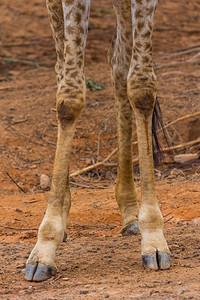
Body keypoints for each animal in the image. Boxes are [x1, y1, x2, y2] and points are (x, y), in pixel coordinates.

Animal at [25, 0, 170, 282]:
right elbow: (69, 97)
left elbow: (142, 87)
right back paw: (62, 212)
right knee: (62, 70)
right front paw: (44, 248)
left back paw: (131, 213)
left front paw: (154, 239)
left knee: (119, 65)